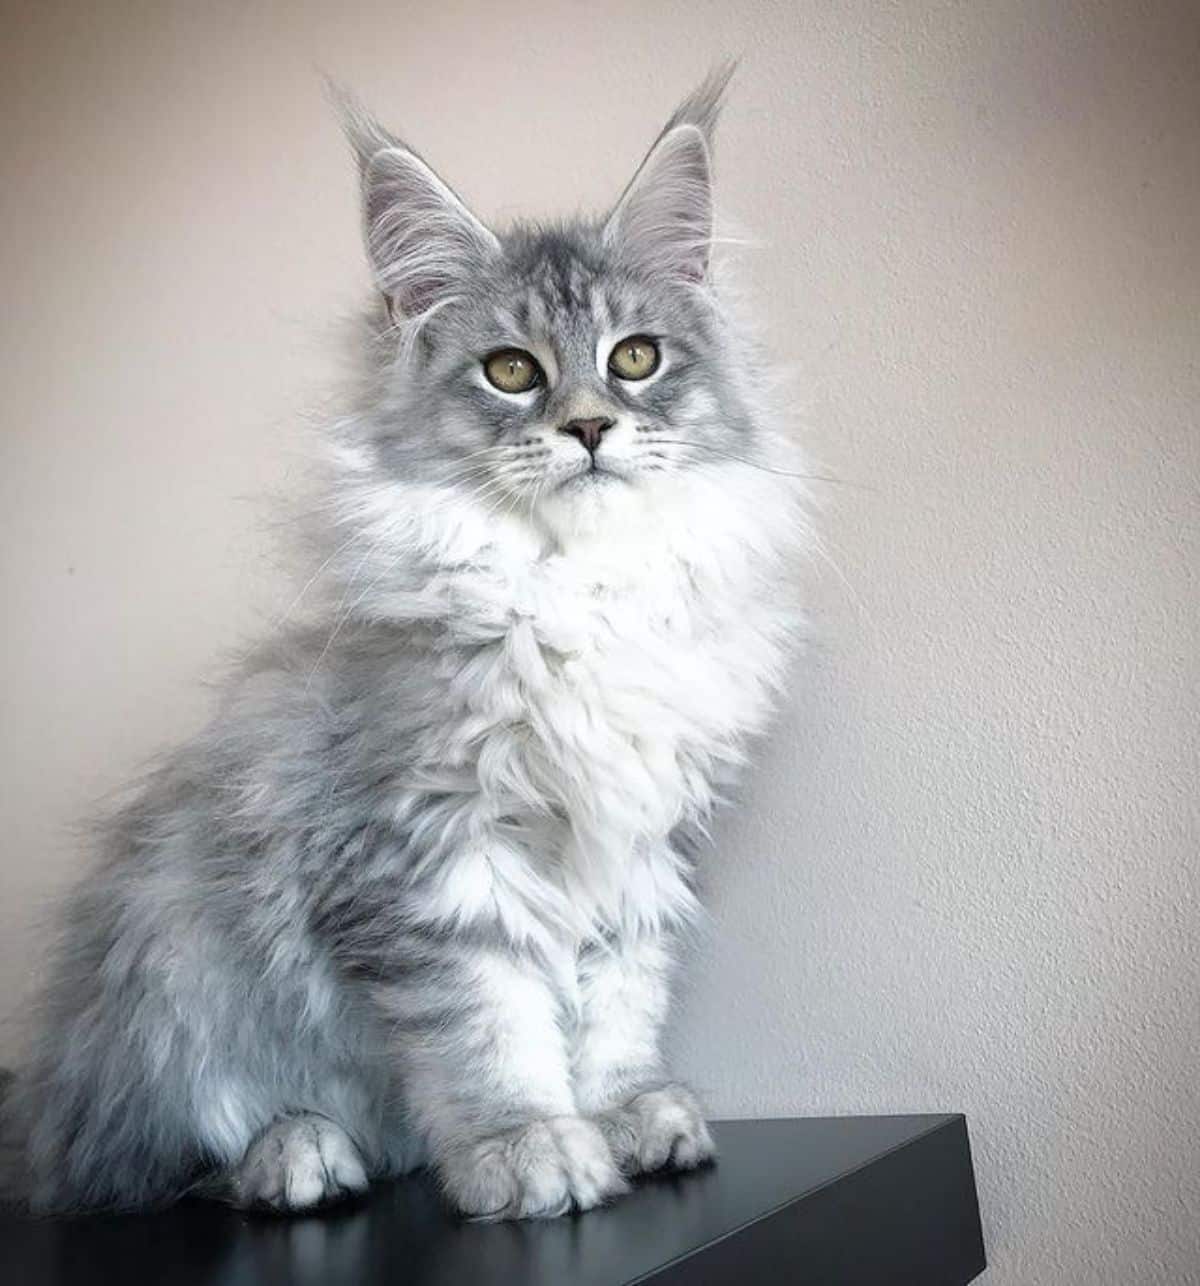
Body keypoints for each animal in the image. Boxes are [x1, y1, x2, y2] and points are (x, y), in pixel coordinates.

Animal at [4, 65, 807, 1219]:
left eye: (636, 358)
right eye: (511, 370)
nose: (588, 427)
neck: (575, 590)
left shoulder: (638, 855)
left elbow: (616, 1004)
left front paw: (622, 1113)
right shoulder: (427, 855)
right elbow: (488, 1028)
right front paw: (529, 1146)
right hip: (168, 973)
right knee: (136, 1168)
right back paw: (296, 1153)